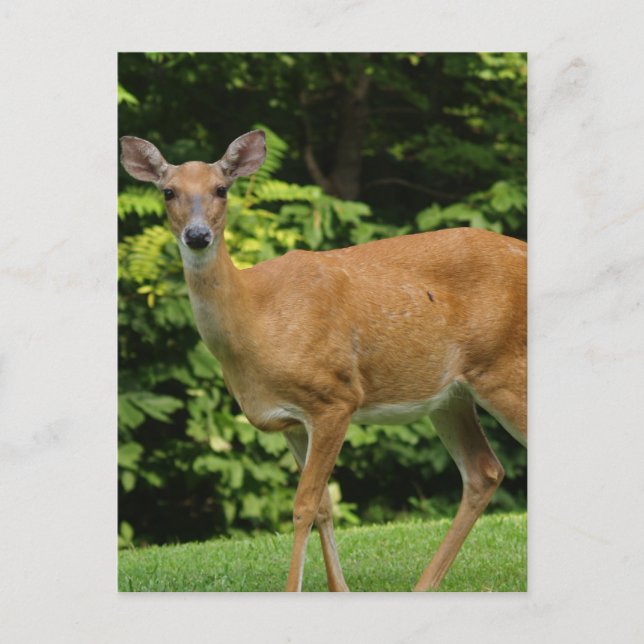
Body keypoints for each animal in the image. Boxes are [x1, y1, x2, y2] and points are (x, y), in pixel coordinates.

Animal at [120, 129, 527, 592]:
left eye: (221, 189)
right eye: (168, 191)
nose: (197, 235)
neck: (255, 320)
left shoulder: (334, 397)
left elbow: (303, 505)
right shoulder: (291, 421)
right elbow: (324, 507)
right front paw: (340, 590)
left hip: (503, 367)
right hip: (449, 395)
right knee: (483, 471)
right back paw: (424, 586)